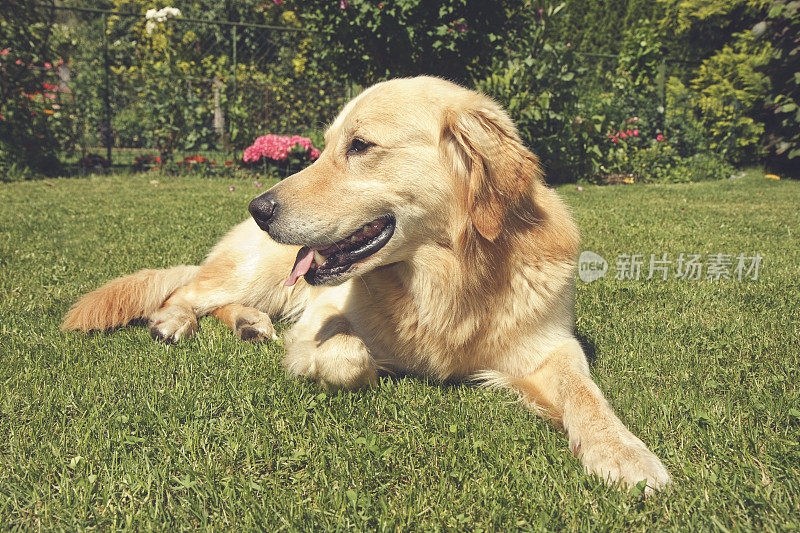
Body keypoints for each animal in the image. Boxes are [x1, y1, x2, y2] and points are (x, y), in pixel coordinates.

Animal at [65, 75, 672, 490]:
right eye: (326, 145)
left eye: (359, 146)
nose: (259, 207)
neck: (447, 281)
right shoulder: (317, 324)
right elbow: (350, 353)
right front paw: (373, 367)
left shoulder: (552, 346)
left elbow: (588, 396)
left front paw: (624, 453)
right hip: (256, 271)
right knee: (186, 292)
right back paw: (174, 321)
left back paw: (248, 325)